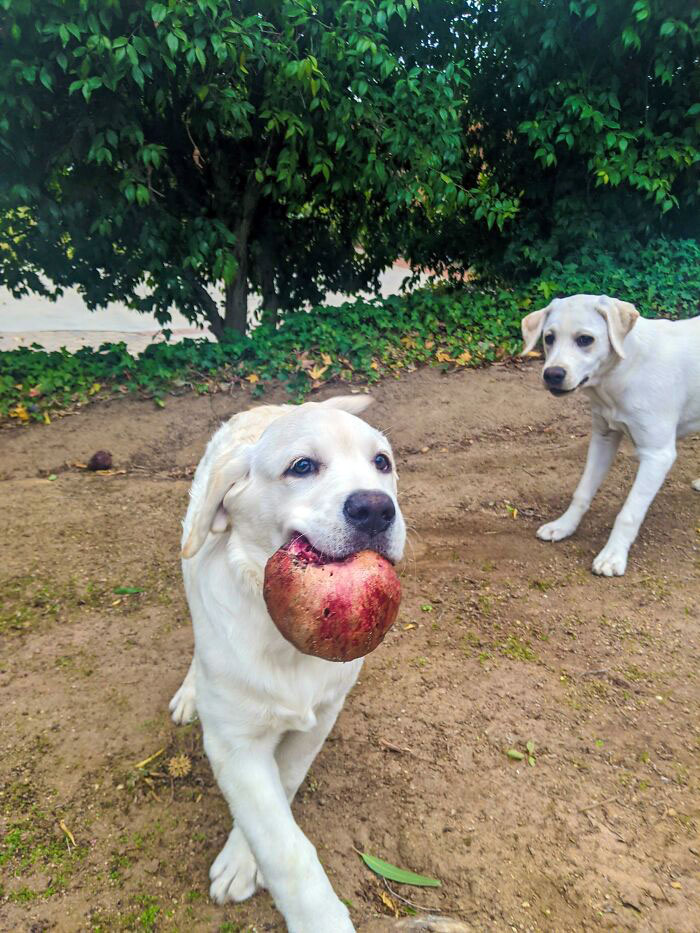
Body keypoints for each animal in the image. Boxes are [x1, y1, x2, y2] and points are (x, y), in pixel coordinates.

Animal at [167, 396, 404, 932]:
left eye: (381, 463)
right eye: (302, 467)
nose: (376, 508)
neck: (286, 644)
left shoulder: (322, 715)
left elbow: (285, 782)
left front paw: (242, 857)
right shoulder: (233, 743)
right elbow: (281, 846)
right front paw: (319, 918)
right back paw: (191, 690)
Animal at [520, 294, 700, 576]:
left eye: (585, 340)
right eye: (549, 338)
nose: (552, 374)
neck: (623, 373)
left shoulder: (657, 455)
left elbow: (628, 513)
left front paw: (613, 556)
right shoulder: (603, 438)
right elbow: (582, 492)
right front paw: (563, 526)